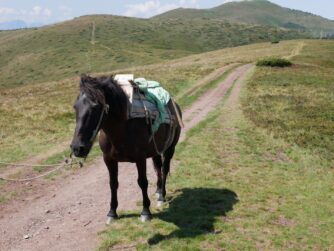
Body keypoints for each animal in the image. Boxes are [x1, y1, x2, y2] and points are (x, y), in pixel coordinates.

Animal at [69, 73, 181, 223]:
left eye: (95, 107)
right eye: (76, 107)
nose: (77, 148)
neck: (122, 128)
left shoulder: (140, 159)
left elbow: (142, 182)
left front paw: (145, 211)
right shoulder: (108, 160)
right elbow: (113, 183)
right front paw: (112, 212)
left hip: (170, 149)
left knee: (164, 169)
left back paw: (162, 197)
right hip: (155, 151)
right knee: (158, 168)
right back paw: (158, 192)